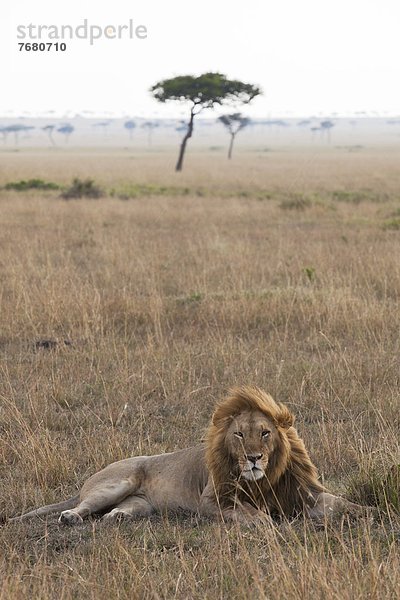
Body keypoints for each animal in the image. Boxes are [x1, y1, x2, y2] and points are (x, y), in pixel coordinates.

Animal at [7, 386, 364, 524]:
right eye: (239, 434)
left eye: (265, 433)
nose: (253, 458)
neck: (264, 478)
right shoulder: (211, 500)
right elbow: (252, 514)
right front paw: (266, 522)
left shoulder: (303, 493)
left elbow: (342, 503)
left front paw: (367, 512)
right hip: (117, 482)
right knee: (84, 506)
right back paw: (70, 516)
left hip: (141, 504)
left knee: (115, 513)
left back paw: (117, 518)